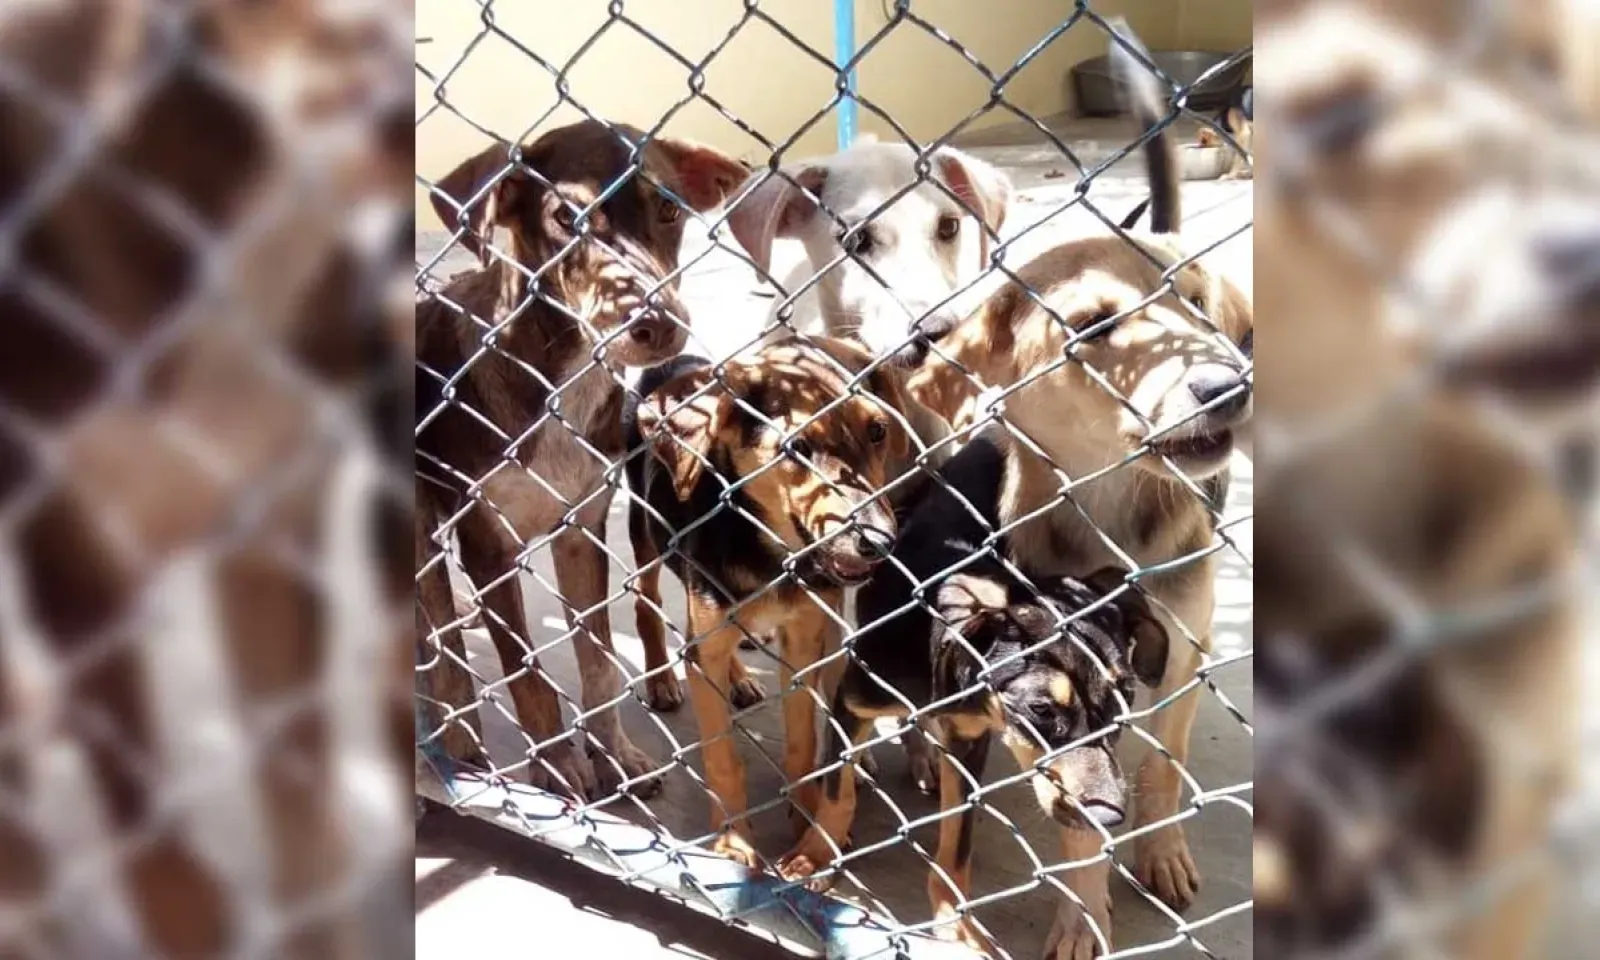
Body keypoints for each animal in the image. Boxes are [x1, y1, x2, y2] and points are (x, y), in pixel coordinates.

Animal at [415, 120, 746, 800]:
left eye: (668, 209)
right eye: (566, 218)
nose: (657, 324)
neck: (568, 376)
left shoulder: (582, 528)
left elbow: (597, 662)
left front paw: (614, 753)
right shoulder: (487, 541)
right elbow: (527, 676)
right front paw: (555, 768)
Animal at [624, 336, 920, 866]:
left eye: (878, 430)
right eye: (795, 448)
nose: (881, 542)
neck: (771, 553)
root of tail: (675, 360)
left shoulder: (803, 636)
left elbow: (803, 740)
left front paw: (806, 822)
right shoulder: (707, 634)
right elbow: (722, 757)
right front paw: (733, 841)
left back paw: (740, 679)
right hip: (646, 532)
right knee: (647, 602)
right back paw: (661, 679)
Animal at [776, 427, 1169, 958]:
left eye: (1126, 696)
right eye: (1041, 708)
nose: (1108, 817)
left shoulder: (969, 742)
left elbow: (956, 843)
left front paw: (955, 924)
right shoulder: (854, 701)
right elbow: (837, 794)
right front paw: (814, 857)